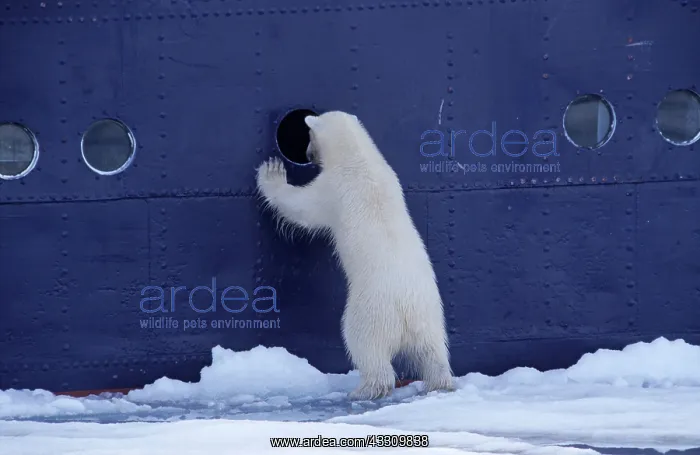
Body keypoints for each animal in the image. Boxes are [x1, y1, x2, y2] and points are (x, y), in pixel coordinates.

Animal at [256, 110, 455, 400]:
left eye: (308, 136)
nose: (308, 154)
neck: (359, 157)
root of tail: (406, 310)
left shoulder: (332, 189)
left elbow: (302, 208)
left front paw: (271, 172)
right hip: (430, 314)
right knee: (433, 351)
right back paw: (440, 382)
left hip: (371, 311)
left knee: (363, 345)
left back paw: (365, 389)